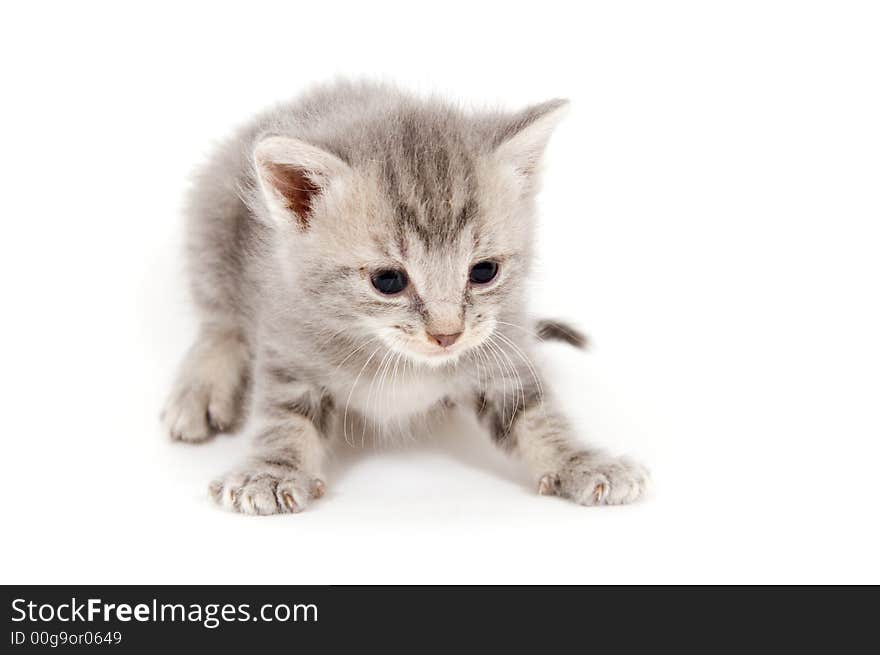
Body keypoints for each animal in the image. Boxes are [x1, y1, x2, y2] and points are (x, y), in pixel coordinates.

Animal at [163, 80, 648, 512]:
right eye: (388, 281)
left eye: (484, 272)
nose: (447, 335)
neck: (400, 361)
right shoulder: (289, 341)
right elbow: (283, 416)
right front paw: (271, 473)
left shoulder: (501, 349)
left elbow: (537, 415)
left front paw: (582, 463)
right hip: (211, 220)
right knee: (219, 321)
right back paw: (200, 390)